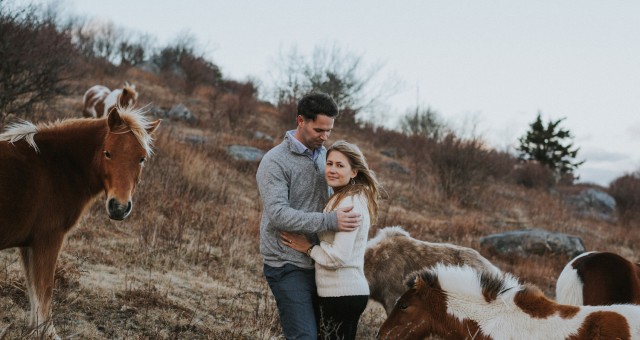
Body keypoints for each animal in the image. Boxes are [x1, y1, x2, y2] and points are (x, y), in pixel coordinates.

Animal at [0, 105, 160, 338]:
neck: (54, 165)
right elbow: (44, 291)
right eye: (108, 153)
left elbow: (33, 290)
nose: (119, 207)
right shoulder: (47, 240)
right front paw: (47, 333)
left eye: (141, 159)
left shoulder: (28, 245)